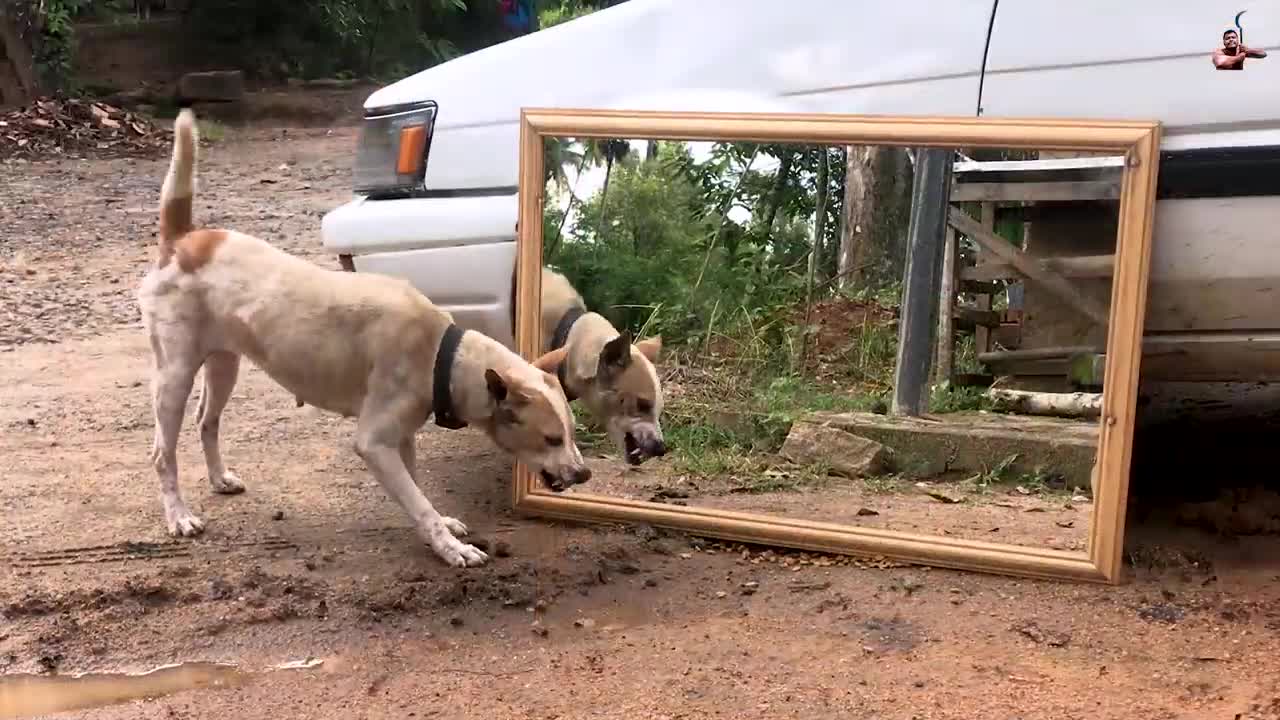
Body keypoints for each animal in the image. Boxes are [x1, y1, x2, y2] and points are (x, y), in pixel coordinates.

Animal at [136, 107, 588, 566]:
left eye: (572, 432)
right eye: (551, 439)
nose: (584, 472)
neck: (441, 352)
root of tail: (183, 240)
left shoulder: (401, 437)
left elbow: (419, 491)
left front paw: (443, 527)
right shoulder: (374, 444)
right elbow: (419, 503)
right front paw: (450, 547)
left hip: (224, 363)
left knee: (206, 421)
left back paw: (218, 479)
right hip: (174, 375)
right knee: (161, 453)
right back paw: (178, 516)